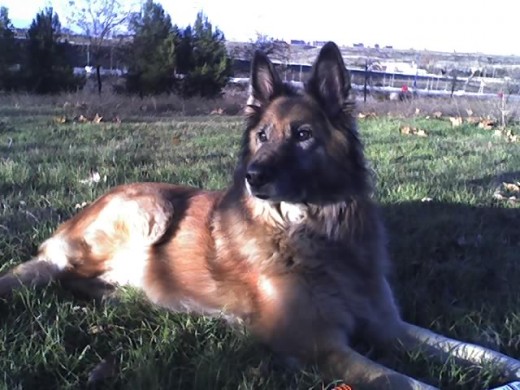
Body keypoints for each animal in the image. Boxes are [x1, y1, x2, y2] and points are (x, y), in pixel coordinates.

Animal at [1, 42, 520, 390]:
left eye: (303, 135)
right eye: (263, 135)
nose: (251, 177)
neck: (314, 232)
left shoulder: (388, 324)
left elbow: (468, 348)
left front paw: (509, 365)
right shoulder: (318, 345)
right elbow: (405, 381)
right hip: (150, 208)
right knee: (52, 267)